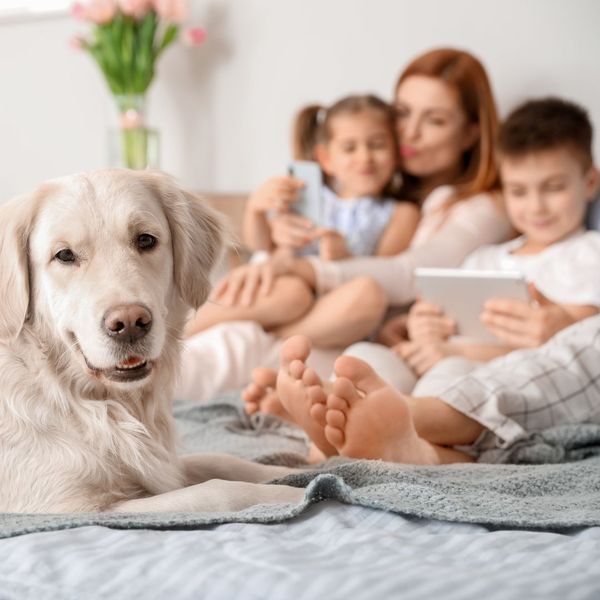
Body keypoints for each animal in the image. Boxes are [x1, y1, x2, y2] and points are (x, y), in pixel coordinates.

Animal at [0, 169, 302, 510]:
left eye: (145, 239)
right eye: (64, 255)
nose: (130, 323)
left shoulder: (167, 464)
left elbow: (221, 460)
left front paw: (306, 469)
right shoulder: (73, 507)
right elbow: (217, 489)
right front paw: (294, 493)